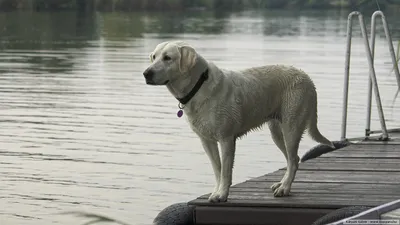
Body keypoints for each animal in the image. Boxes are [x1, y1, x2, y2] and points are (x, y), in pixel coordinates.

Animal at [142, 40, 332, 204]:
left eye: (168, 58)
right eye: (154, 56)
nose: (146, 73)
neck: (198, 86)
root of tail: (307, 77)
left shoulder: (226, 139)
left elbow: (226, 172)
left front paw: (222, 195)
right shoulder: (207, 141)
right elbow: (217, 170)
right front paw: (216, 192)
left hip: (291, 128)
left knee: (293, 160)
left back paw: (284, 189)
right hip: (277, 132)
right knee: (294, 159)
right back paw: (282, 184)